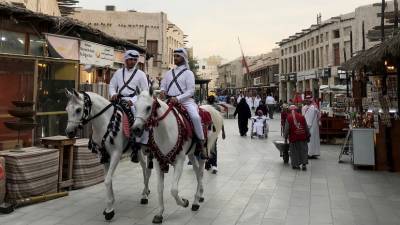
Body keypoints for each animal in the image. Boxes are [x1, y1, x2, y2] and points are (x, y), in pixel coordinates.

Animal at [65, 89, 152, 220]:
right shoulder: (104, 156)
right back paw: (145, 192)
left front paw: (110, 210)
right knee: (145, 168)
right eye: (66, 109)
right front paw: (109, 206)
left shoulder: (116, 154)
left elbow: (107, 180)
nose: (69, 132)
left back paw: (145, 195)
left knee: (145, 170)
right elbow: (108, 179)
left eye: (78, 110)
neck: (105, 123)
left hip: (145, 149)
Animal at [131, 89, 225, 223]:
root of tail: (207, 109)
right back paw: (200, 196)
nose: (136, 129)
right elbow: (160, 188)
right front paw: (159, 213)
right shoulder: (158, 162)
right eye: (135, 106)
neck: (165, 132)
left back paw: (196, 201)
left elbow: (174, 190)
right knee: (197, 171)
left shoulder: (179, 162)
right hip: (191, 154)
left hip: (202, 154)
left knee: (200, 172)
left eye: (148, 107)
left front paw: (184, 202)